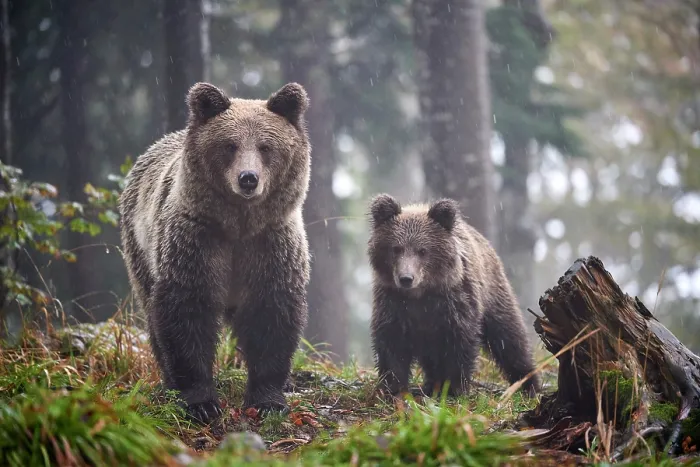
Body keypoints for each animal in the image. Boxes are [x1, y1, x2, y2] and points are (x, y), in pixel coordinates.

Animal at [118, 81, 311, 425]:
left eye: (265, 147)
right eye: (230, 145)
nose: (248, 178)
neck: (239, 226)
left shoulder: (270, 242)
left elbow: (272, 313)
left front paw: (269, 400)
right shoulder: (196, 239)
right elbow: (187, 310)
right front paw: (201, 402)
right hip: (139, 245)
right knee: (152, 309)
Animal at [366, 194, 540, 398]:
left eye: (422, 250)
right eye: (396, 248)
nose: (406, 278)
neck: (420, 295)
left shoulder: (455, 302)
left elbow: (459, 343)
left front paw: (454, 389)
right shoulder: (393, 303)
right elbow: (392, 344)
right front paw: (393, 389)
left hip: (494, 293)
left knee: (509, 337)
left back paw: (528, 385)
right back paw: (431, 384)